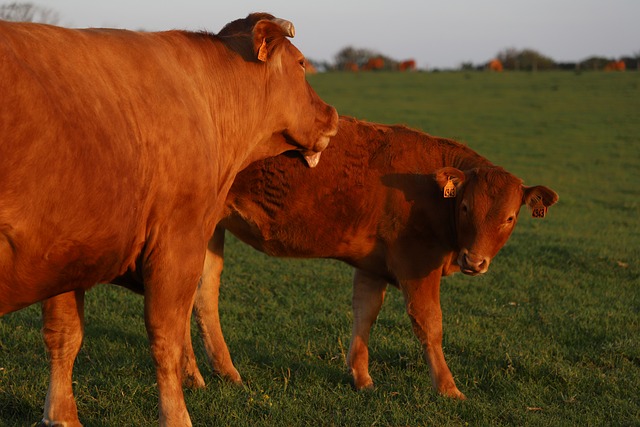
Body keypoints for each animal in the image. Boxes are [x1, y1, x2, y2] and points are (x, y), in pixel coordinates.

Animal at [1, 13, 340, 427]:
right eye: (301, 63)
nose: (332, 115)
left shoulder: (69, 250)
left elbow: (63, 335)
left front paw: (61, 416)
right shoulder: (176, 242)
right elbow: (167, 339)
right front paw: (177, 416)